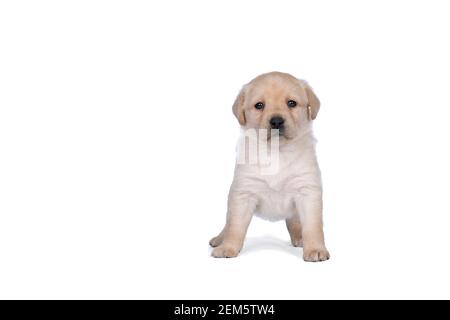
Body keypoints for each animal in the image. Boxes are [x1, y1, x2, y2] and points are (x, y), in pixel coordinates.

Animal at [211, 72, 330, 262]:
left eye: (292, 103)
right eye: (259, 105)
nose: (276, 121)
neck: (276, 151)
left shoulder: (307, 191)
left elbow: (313, 226)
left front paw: (315, 249)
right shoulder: (243, 193)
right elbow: (235, 226)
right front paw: (228, 247)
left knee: (295, 222)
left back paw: (299, 238)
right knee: (228, 223)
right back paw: (219, 239)